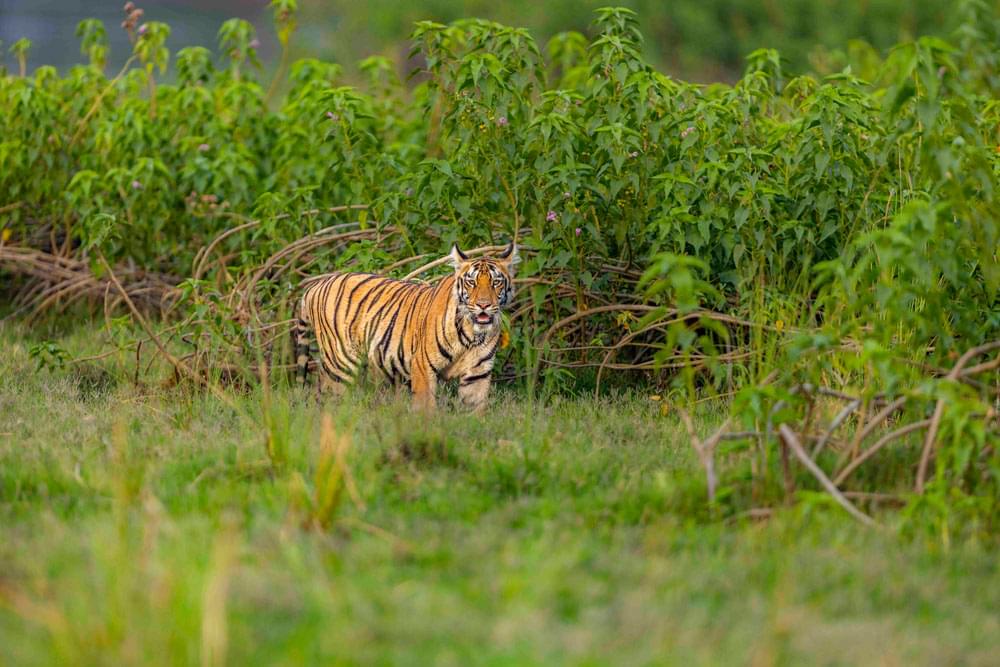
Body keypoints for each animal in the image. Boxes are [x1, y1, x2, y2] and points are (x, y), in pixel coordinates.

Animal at [294, 241, 519, 412]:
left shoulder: (477, 374)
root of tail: (316, 285)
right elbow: (425, 409)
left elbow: (474, 412)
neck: (473, 334)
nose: (483, 305)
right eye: (472, 282)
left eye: (496, 282)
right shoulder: (423, 366)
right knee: (326, 397)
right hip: (340, 363)